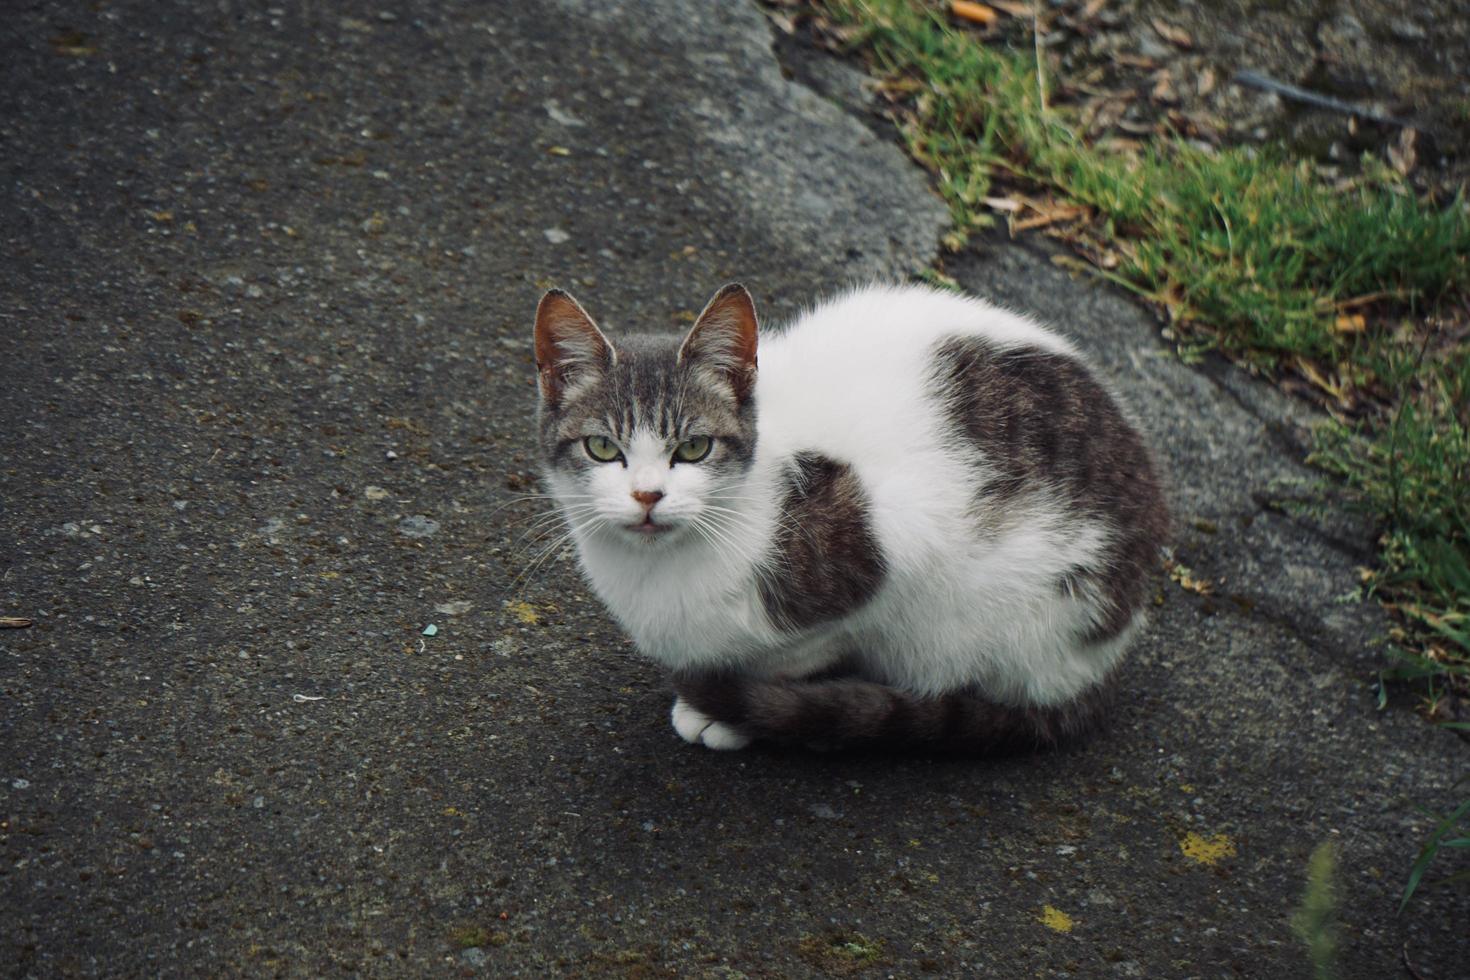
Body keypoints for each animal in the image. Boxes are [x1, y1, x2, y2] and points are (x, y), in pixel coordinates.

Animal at [535, 279, 1164, 758]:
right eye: (601, 447)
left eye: (693, 448)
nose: (647, 495)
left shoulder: (896, 545)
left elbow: (802, 652)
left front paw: (729, 708)